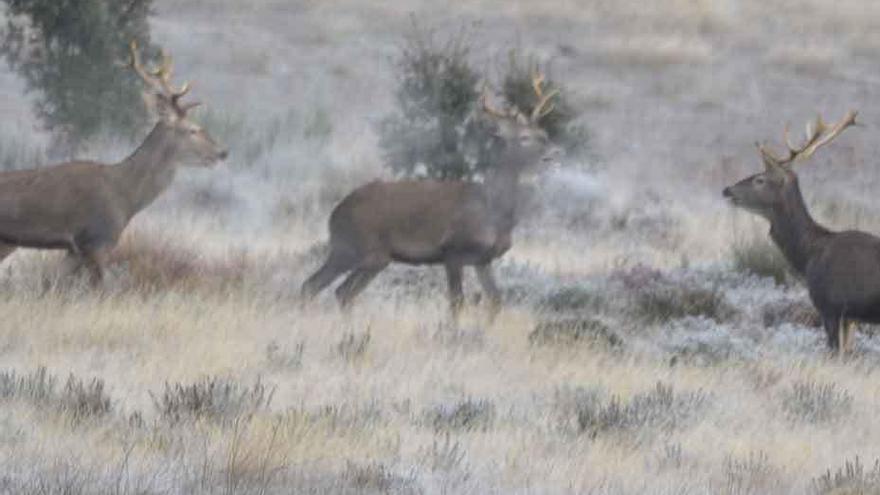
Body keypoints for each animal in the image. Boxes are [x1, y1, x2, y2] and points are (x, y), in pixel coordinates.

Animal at [0, 42, 229, 286]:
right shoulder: (97, 239)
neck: (125, 195)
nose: (222, 152)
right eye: (192, 130)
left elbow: (50, 284)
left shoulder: (75, 249)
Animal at [302, 70, 564, 320]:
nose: (554, 153)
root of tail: (335, 214)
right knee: (323, 287)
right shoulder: (454, 251)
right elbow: (456, 303)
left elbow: (496, 301)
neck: (493, 209)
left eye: (543, 132)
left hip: (369, 256)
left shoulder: (483, 259)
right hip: (360, 248)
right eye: (524, 137)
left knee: (335, 290)